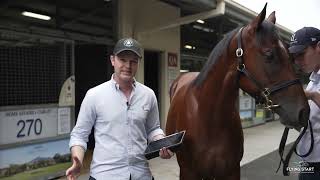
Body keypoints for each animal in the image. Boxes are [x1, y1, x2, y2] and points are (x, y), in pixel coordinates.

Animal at [168, 4, 310, 180]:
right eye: (269, 54)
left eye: (290, 57)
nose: (303, 112)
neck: (210, 119)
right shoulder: (188, 172)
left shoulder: (232, 171)